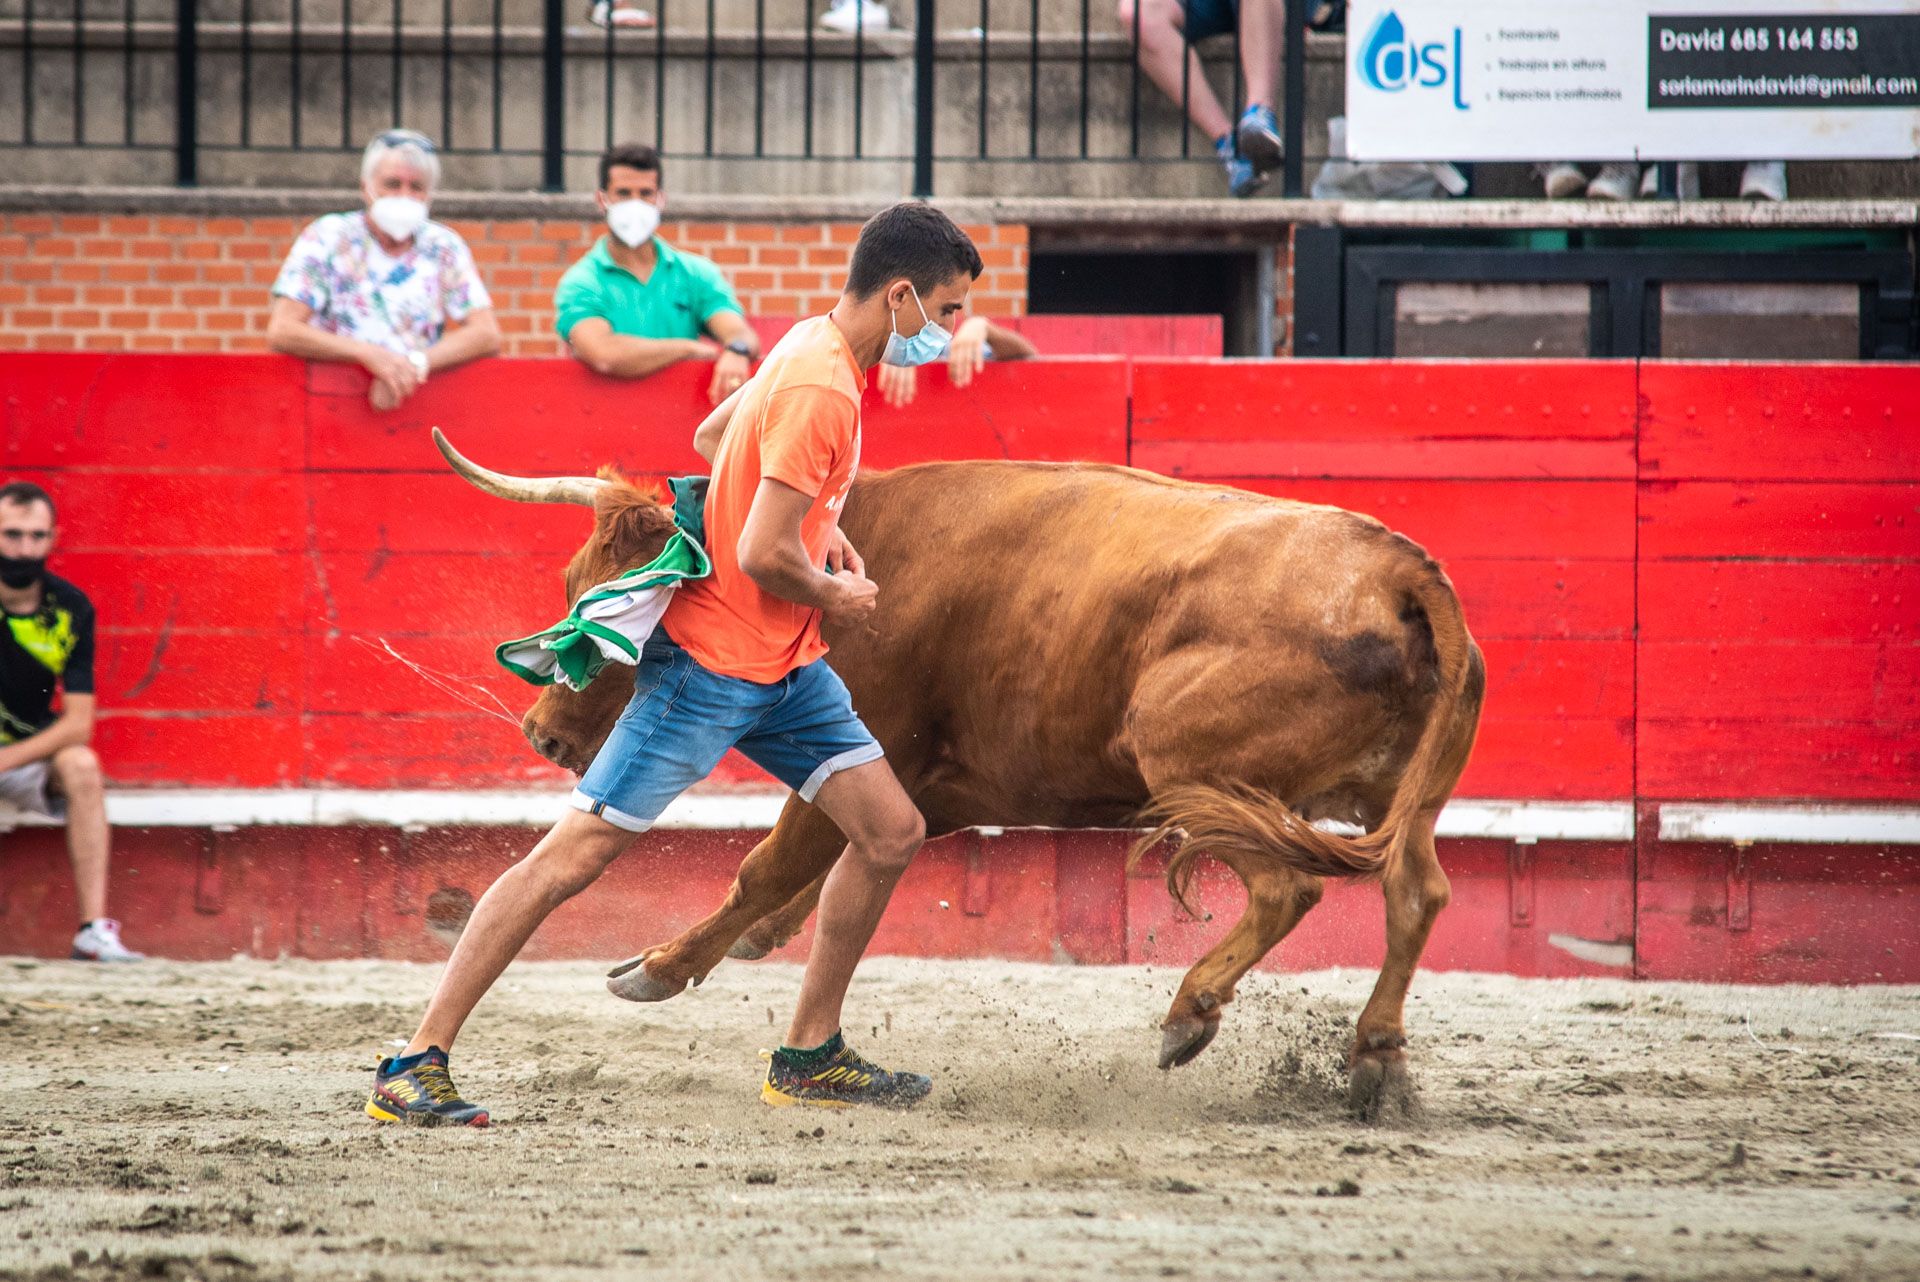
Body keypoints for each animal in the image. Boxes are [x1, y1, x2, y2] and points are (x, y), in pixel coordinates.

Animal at [435, 427, 1482, 1113]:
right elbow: (794, 879)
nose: (542, 734)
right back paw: (1376, 1063)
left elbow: (766, 866)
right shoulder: (924, 791)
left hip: (1192, 768)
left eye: (593, 600)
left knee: (1288, 891)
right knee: (1417, 893)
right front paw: (748, 942)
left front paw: (655, 968)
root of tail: (1398, 569)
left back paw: (1189, 1016)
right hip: (1389, 797)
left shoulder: (877, 748)